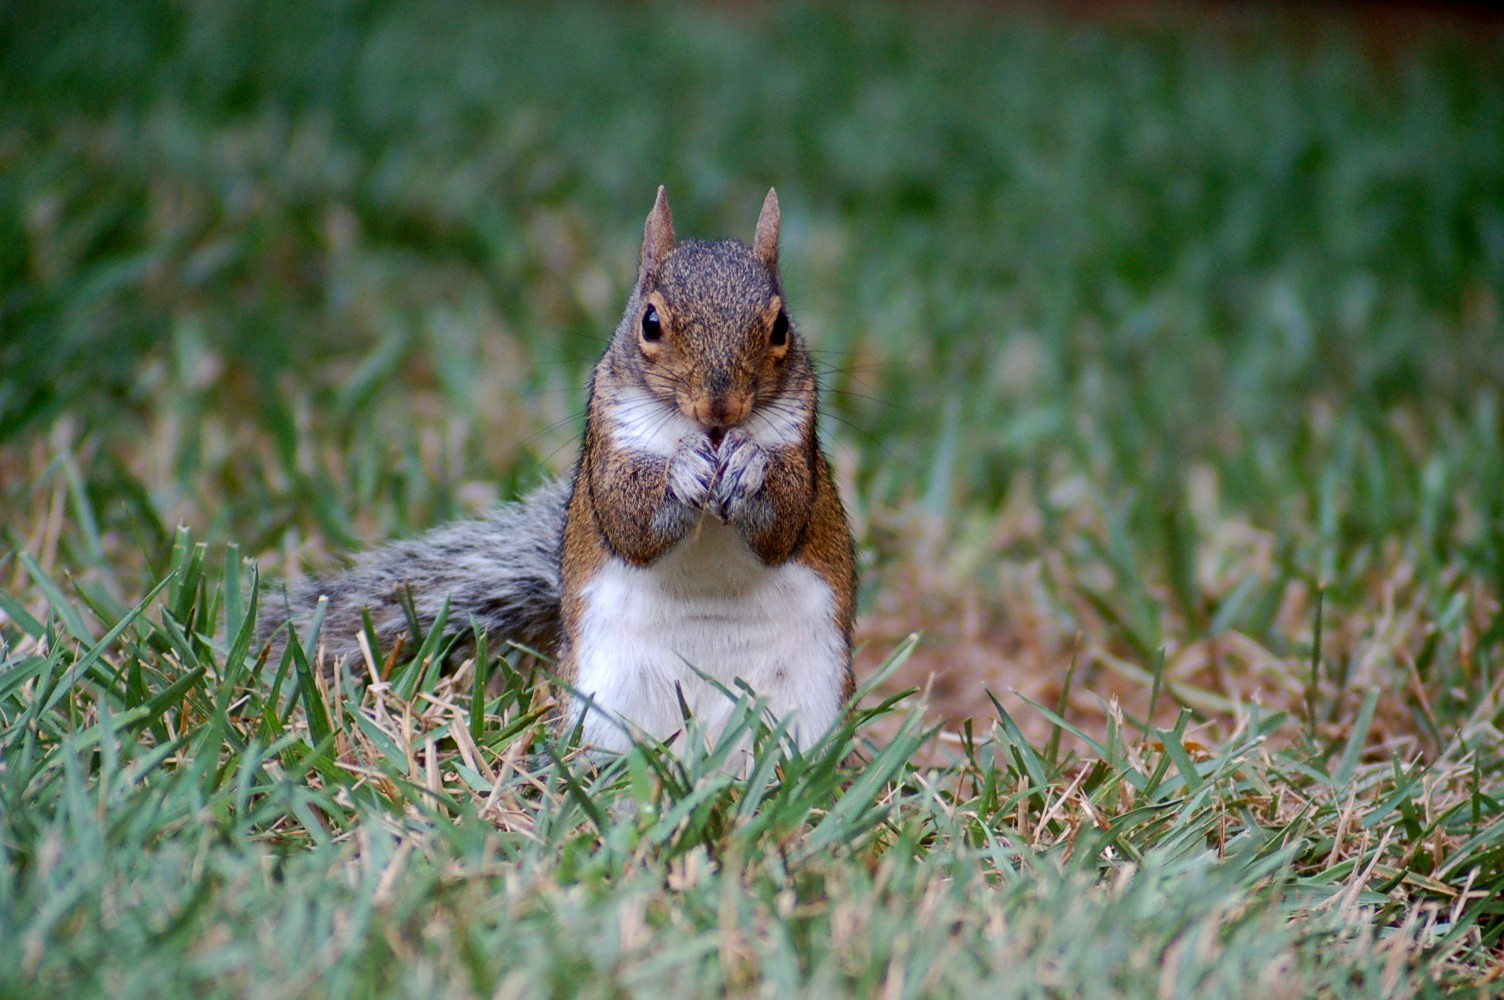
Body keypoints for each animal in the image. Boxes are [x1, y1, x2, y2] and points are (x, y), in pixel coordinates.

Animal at [261, 187, 857, 753]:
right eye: (651, 322)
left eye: (780, 326)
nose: (721, 409)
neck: (707, 438)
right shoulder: (608, 438)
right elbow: (627, 519)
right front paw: (681, 471)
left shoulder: (798, 436)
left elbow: (785, 520)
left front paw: (751, 463)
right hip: (605, 694)